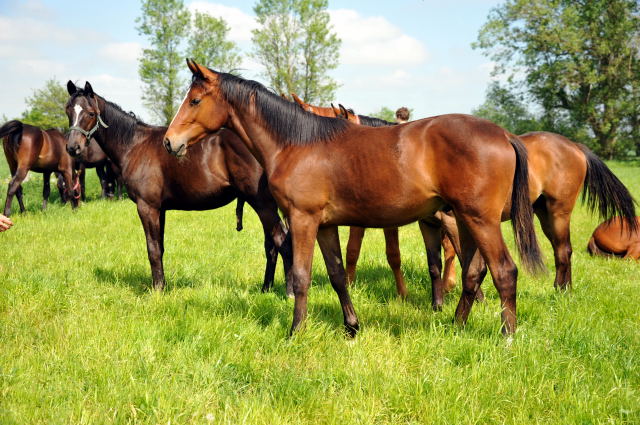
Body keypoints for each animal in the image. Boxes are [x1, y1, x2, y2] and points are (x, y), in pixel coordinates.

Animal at [63, 82, 294, 294]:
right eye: (68, 111)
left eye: (90, 113)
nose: (73, 148)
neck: (135, 145)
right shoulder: (160, 209)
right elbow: (160, 247)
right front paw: (163, 285)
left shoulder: (147, 207)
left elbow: (153, 249)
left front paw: (157, 290)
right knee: (272, 245)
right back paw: (266, 288)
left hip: (262, 204)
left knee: (282, 241)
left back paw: (289, 292)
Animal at [162, 60, 544, 338]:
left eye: (195, 100)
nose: (169, 142)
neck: (296, 143)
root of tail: (504, 134)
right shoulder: (325, 226)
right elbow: (337, 275)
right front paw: (351, 327)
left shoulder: (303, 219)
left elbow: (301, 275)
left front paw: (295, 331)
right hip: (466, 220)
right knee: (473, 272)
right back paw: (455, 326)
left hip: (480, 220)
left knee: (504, 271)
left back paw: (507, 337)